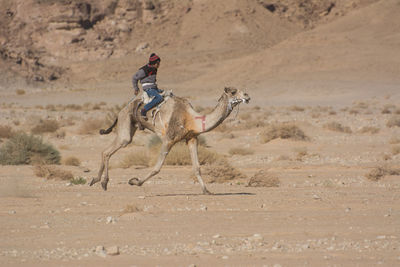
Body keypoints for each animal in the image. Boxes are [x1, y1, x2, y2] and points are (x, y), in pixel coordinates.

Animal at [90, 87, 250, 195]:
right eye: (233, 92)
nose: (247, 96)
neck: (191, 119)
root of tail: (123, 108)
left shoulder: (191, 138)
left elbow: (197, 167)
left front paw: (207, 191)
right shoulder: (168, 139)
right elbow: (156, 168)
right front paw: (134, 181)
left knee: (107, 151)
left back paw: (97, 181)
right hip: (125, 121)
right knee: (110, 149)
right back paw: (102, 182)